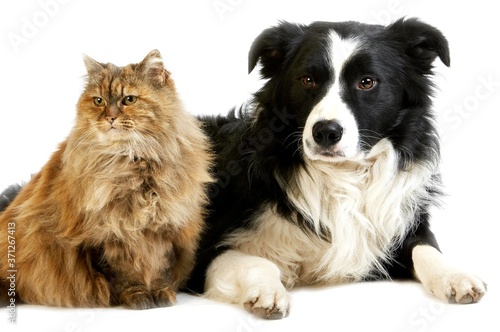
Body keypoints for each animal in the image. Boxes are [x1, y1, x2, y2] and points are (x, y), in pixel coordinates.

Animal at [0, 50, 213, 310]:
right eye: (99, 101)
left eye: (129, 100)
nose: (110, 117)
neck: (132, 165)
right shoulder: (107, 237)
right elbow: (125, 276)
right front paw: (138, 297)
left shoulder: (165, 231)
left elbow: (159, 270)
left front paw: (161, 294)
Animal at [183, 18, 484, 320]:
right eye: (307, 80)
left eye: (367, 82)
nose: (326, 132)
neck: (340, 174)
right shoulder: (202, 254)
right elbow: (260, 262)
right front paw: (268, 293)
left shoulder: (399, 225)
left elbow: (426, 247)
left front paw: (456, 276)